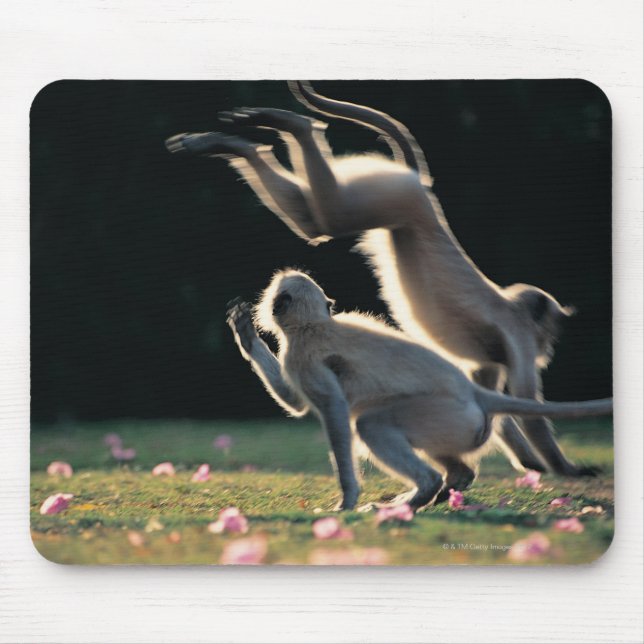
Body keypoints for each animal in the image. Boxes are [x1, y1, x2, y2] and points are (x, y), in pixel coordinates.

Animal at [166, 81, 604, 477]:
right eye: (550, 330)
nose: (550, 345)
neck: (511, 306)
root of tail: (423, 189)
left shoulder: (489, 363)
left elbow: (495, 406)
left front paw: (530, 463)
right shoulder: (520, 336)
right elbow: (528, 406)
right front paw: (566, 469)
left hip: (392, 201)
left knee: (313, 224)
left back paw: (237, 142)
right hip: (401, 197)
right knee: (329, 219)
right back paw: (294, 125)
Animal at [226, 269, 612, 511]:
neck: (313, 324)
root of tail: (474, 391)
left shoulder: (301, 357)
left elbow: (330, 409)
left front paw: (347, 500)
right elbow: (298, 404)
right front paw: (246, 334)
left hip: (446, 415)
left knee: (370, 425)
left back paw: (423, 490)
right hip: (461, 426)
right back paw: (447, 485)